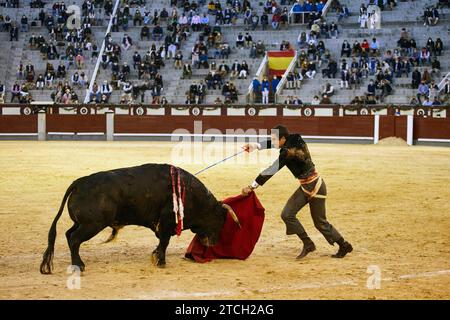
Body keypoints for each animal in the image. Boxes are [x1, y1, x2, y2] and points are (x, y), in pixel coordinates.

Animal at [40, 164, 241, 274]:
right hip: (92, 224)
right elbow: (164, 242)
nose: (213, 243)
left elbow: (161, 243)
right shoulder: (167, 222)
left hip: (82, 223)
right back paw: (79, 266)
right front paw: (161, 262)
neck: (192, 195)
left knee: (68, 235)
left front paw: (156, 257)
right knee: (74, 239)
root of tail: (79, 182)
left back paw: (77, 263)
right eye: (220, 220)